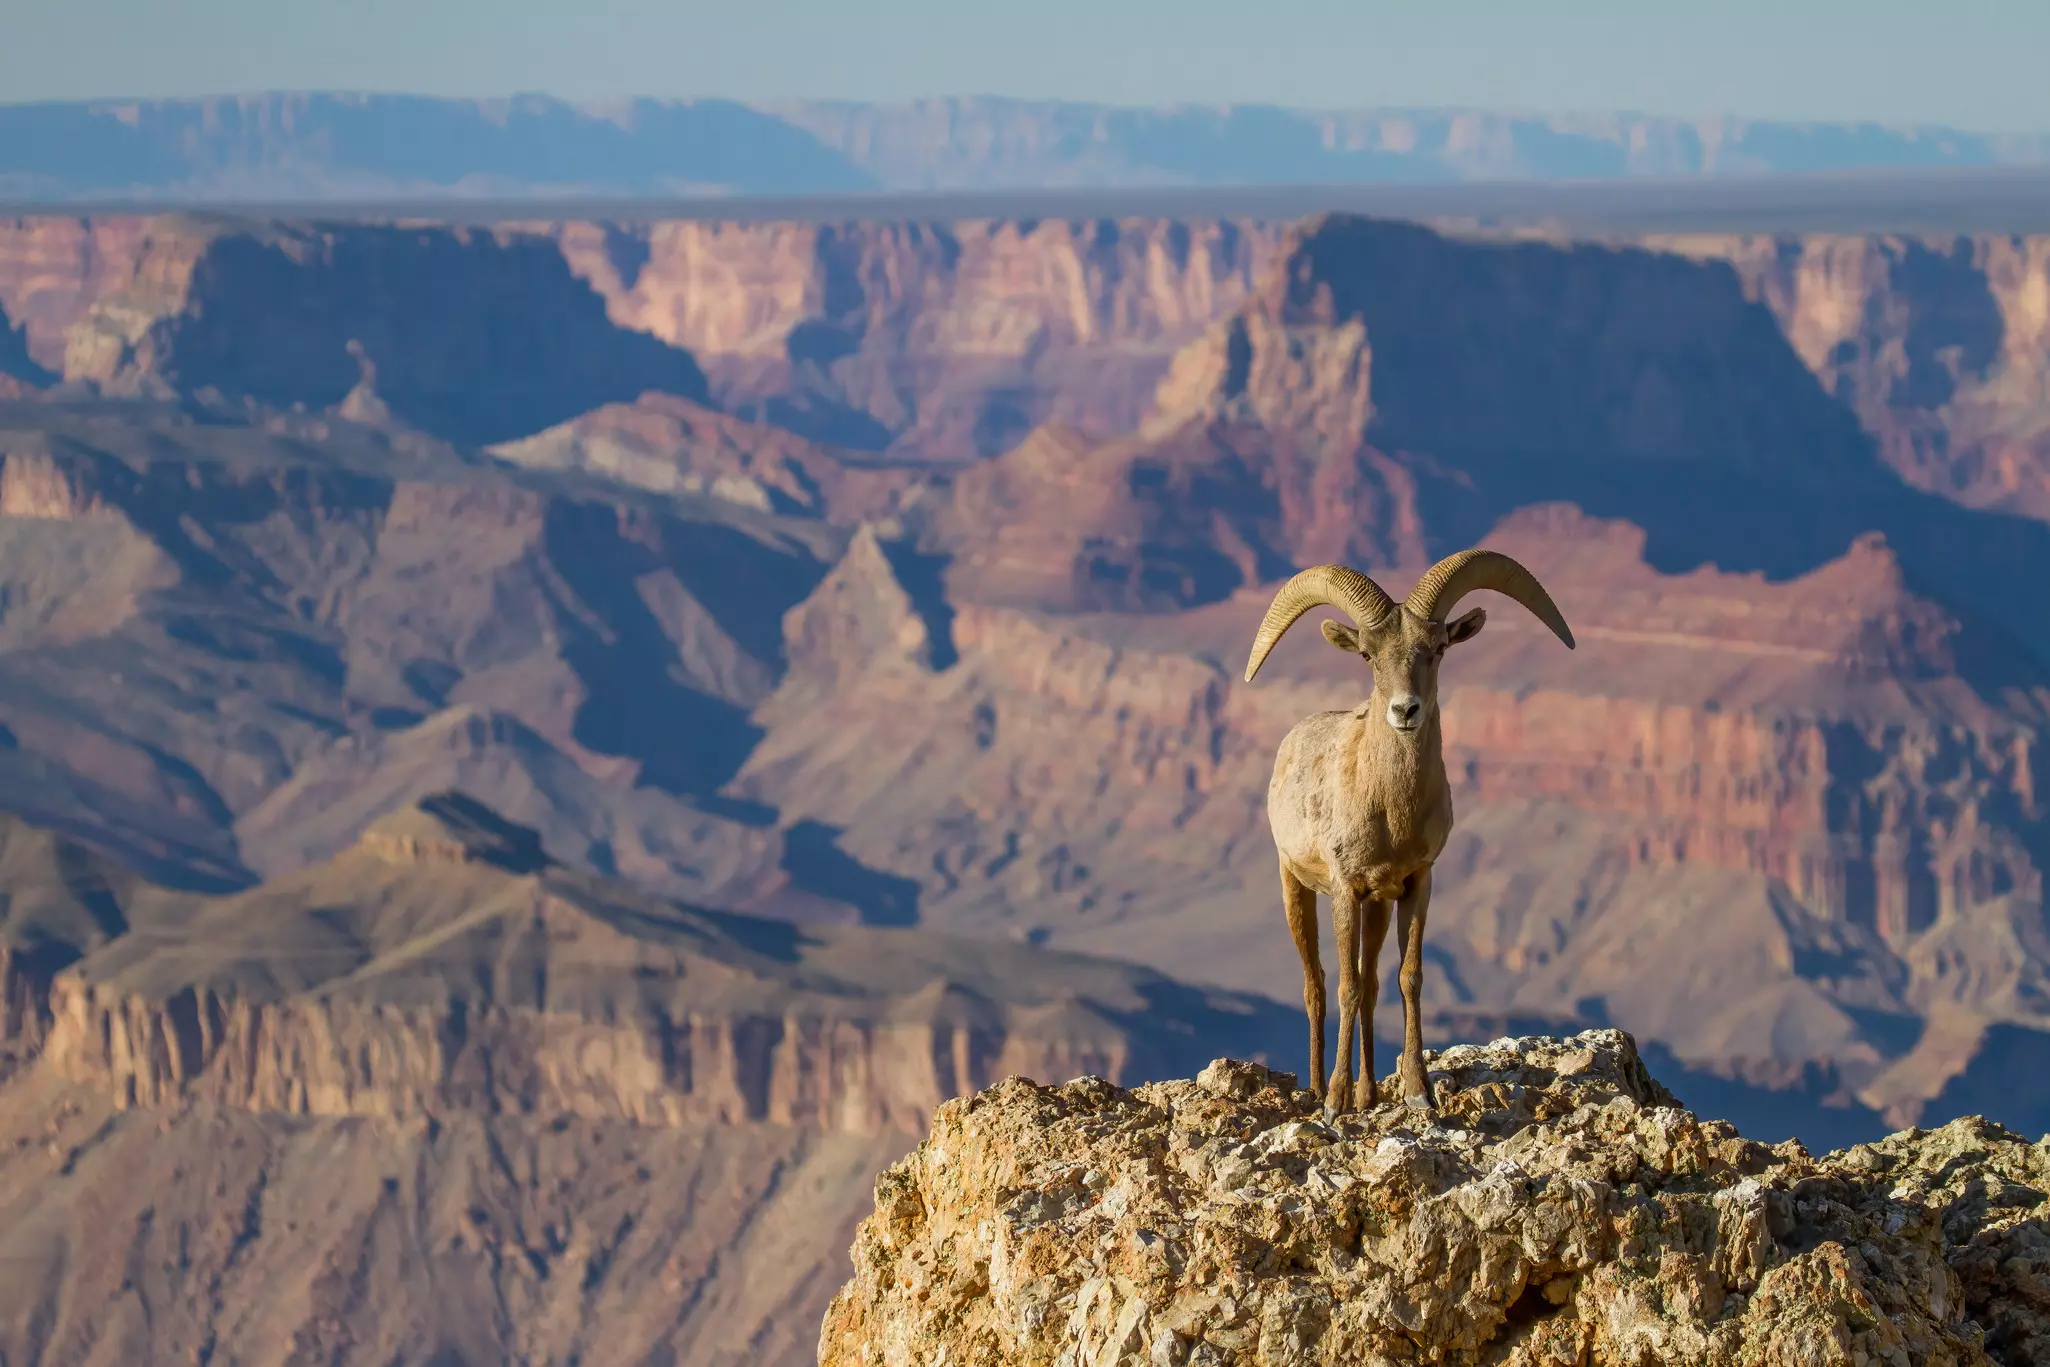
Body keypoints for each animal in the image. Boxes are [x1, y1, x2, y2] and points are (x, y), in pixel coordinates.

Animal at [1242, 550, 1575, 1114]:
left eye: (1437, 648)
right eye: (1367, 655)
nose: (1405, 711)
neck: (1391, 812)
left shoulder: (1415, 883)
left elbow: (1406, 978)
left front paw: (1418, 1092)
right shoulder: (1345, 888)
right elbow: (1346, 986)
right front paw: (1335, 1103)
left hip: (1377, 906)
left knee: (1373, 983)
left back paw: (1370, 1091)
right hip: (1296, 887)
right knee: (1317, 985)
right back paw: (1319, 1090)